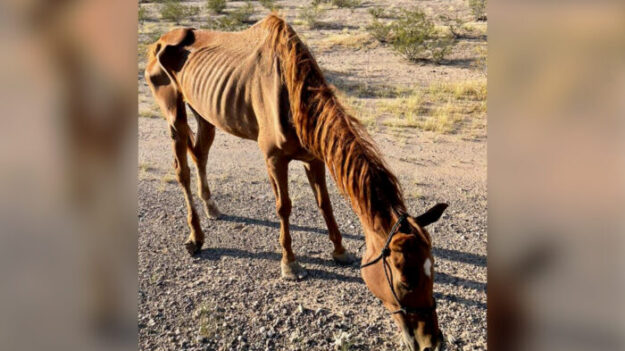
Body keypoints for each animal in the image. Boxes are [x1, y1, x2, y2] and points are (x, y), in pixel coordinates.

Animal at [145, 14, 448, 351]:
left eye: (433, 271)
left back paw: (212, 207)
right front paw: (290, 263)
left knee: (200, 156)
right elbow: (284, 208)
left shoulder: (314, 158)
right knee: (182, 170)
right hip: (174, 115)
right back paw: (196, 236)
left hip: (205, 114)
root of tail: (160, 41)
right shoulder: (274, 159)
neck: (292, 95)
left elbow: (325, 204)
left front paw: (339, 250)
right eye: (404, 281)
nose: (432, 341)